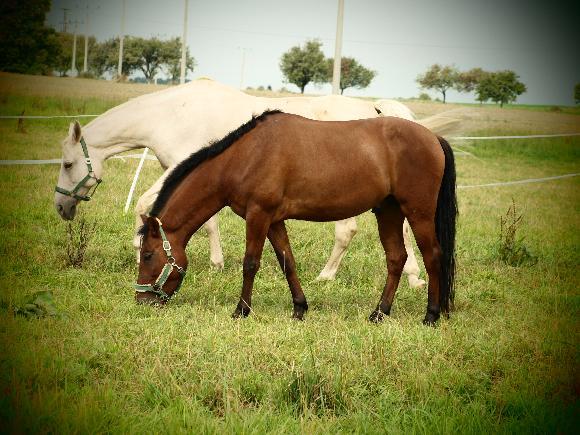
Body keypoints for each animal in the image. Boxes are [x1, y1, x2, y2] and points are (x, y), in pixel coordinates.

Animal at [54, 80, 456, 286]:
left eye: (68, 163)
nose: (61, 206)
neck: (173, 114)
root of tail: (376, 110)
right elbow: (208, 221)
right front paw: (215, 263)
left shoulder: (180, 167)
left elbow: (143, 205)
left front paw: (141, 247)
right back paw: (414, 278)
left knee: (351, 232)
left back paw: (326, 277)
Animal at [136, 110, 458, 326]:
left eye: (148, 255)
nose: (142, 301)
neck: (245, 156)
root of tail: (433, 137)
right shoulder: (273, 220)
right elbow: (287, 262)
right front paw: (300, 308)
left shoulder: (258, 215)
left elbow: (250, 263)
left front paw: (241, 311)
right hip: (388, 212)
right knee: (396, 258)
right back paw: (379, 313)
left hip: (417, 212)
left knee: (432, 256)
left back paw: (431, 316)